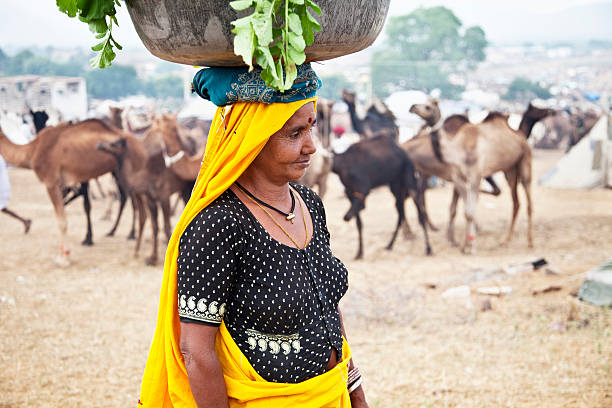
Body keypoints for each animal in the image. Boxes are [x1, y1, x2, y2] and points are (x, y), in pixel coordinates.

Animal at [406, 101, 556, 253]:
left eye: (428, 107)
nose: (412, 107)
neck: (456, 149)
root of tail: (521, 137)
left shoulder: (474, 176)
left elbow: (467, 210)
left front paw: (467, 245)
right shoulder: (459, 177)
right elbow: (466, 211)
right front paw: (464, 244)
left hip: (523, 162)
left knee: (526, 202)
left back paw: (529, 242)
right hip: (510, 170)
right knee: (516, 202)